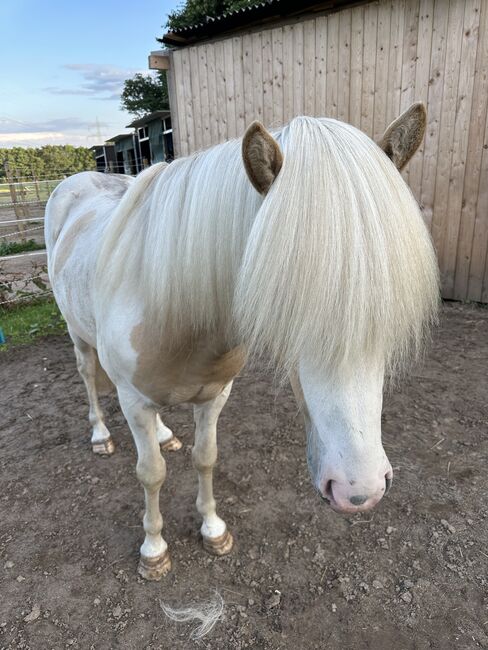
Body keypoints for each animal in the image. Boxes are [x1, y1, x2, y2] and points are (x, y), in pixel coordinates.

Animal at [44, 104, 438, 580]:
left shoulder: (215, 395)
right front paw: (153, 550)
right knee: (87, 376)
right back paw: (101, 435)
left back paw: (164, 434)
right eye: (287, 303)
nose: (360, 490)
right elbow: (151, 474)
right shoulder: (133, 401)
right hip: (78, 335)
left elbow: (206, 457)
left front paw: (214, 530)